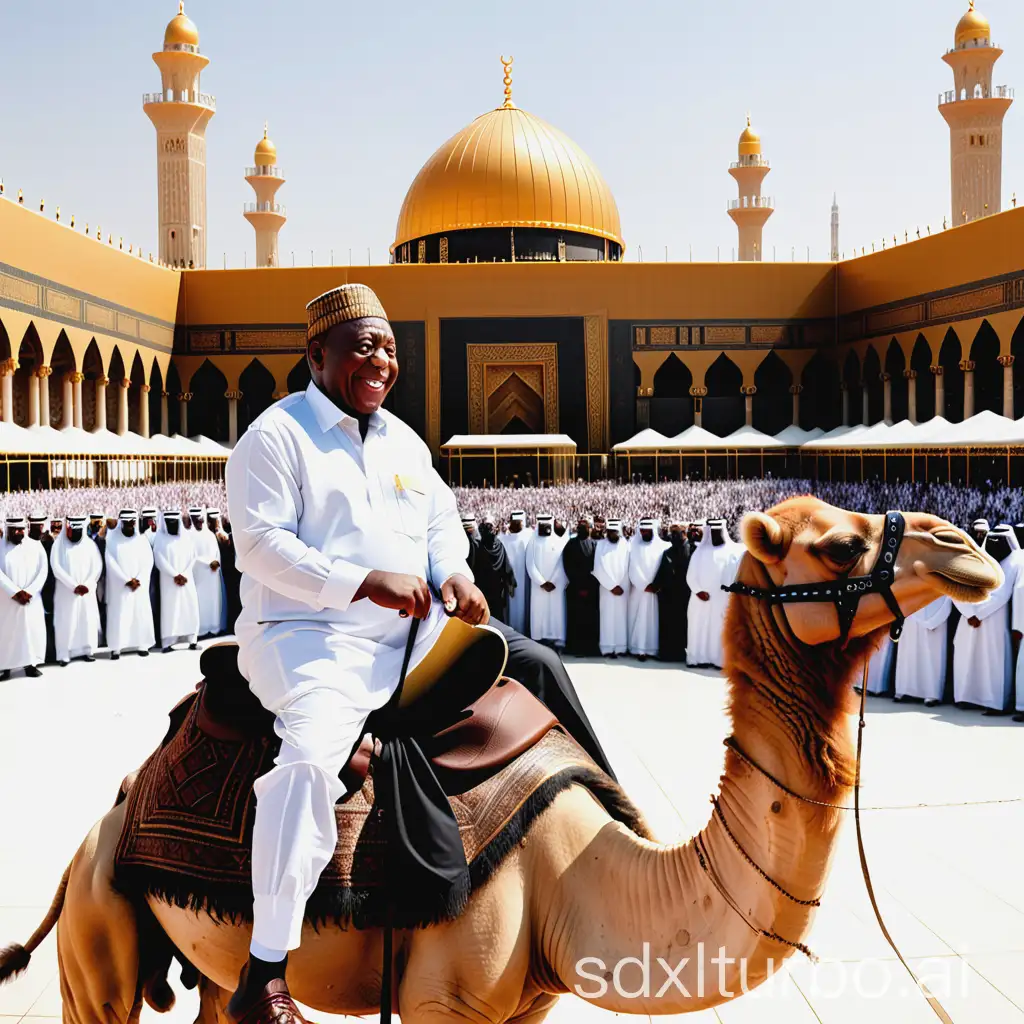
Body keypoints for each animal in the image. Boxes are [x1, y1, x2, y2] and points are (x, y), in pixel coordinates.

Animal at [0, 497, 999, 1024]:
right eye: (840, 544)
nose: (965, 551)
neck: (574, 872)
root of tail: (103, 822)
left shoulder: (530, 1002)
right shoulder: (444, 997)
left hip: (199, 957)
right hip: (101, 934)